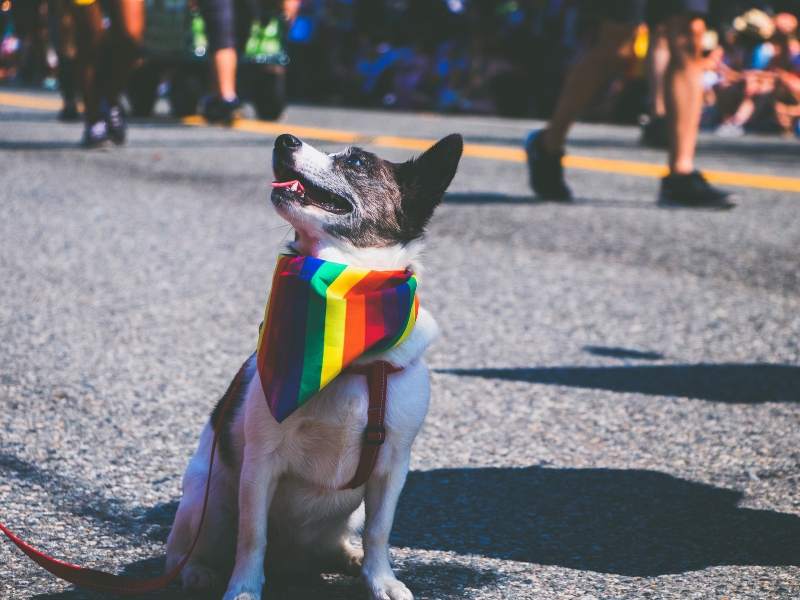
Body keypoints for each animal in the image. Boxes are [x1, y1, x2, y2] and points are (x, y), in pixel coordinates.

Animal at [165, 132, 462, 600]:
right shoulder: (260, 465)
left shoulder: (392, 467)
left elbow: (380, 531)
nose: (283, 139)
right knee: (183, 550)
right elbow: (252, 535)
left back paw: (348, 557)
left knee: (341, 538)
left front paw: (380, 578)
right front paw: (244, 588)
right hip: (207, 499)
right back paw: (197, 573)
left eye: (356, 162)